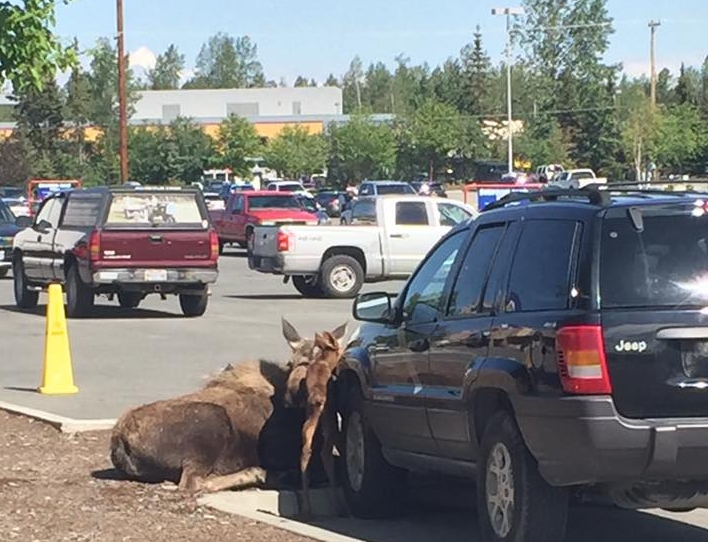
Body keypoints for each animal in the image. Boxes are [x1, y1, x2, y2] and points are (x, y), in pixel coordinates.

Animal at [108, 320, 348, 496]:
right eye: (292, 362)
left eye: (328, 362)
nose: (292, 397)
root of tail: (120, 441)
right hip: (212, 421)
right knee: (195, 483)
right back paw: (266, 474)